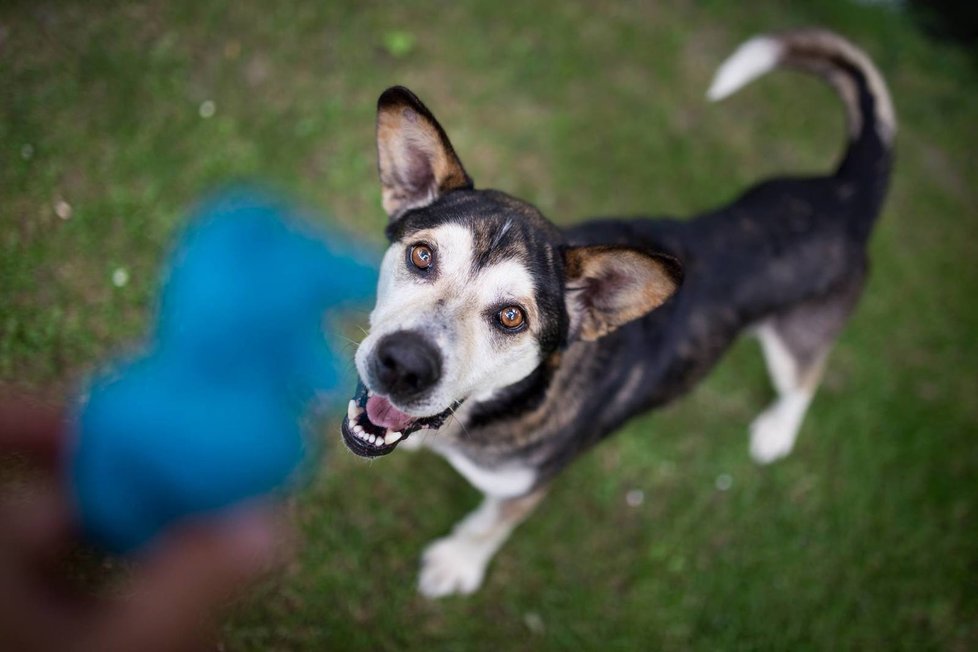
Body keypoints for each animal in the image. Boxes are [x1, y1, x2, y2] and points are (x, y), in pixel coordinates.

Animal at [338, 31, 892, 600]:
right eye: (422, 255)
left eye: (512, 317)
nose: (402, 364)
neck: (502, 404)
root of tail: (846, 194)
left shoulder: (528, 486)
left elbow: (491, 526)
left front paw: (457, 563)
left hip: (795, 338)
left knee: (805, 379)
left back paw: (777, 431)